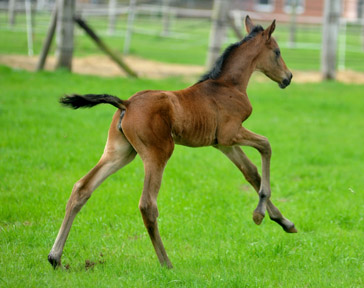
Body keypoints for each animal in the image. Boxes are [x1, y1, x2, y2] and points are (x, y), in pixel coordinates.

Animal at [48, 15, 298, 268]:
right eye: (277, 51)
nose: (288, 77)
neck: (227, 86)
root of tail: (126, 103)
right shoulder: (231, 133)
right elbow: (266, 145)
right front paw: (259, 214)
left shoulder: (222, 143)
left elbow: (251, 172)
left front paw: (284, 222)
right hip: (158, 152)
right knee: (147, 205)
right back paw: (166, 263)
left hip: (120, 152)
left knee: (82, 188)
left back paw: (55, 257)